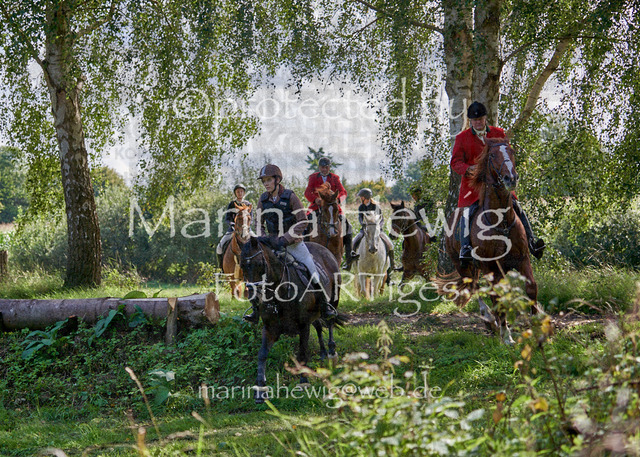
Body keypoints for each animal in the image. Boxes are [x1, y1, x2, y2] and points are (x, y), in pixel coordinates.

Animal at [240, 238, 343, 403]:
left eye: (260, 264)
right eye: (242, 265)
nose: (254, 298)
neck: (279, 294)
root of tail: (325, 250)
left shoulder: (303, 326)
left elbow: (302, 353)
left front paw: (303, 382)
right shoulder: (270, 328)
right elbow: (262, 354)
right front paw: (260, 390)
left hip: (334, 298)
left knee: (330, 322)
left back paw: (332, 353)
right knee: (318, 326)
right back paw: (323, 353)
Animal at [435, 138, 539, 344]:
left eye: (512, 151)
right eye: (492, 155)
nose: (510, 178)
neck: (501, 221)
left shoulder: (522, 259)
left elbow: (530, 287)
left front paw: (537, 325)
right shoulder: (489, 267)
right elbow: (496, 298)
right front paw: (506, 336)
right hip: (463, 265)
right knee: (474, 288)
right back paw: (490, 320)